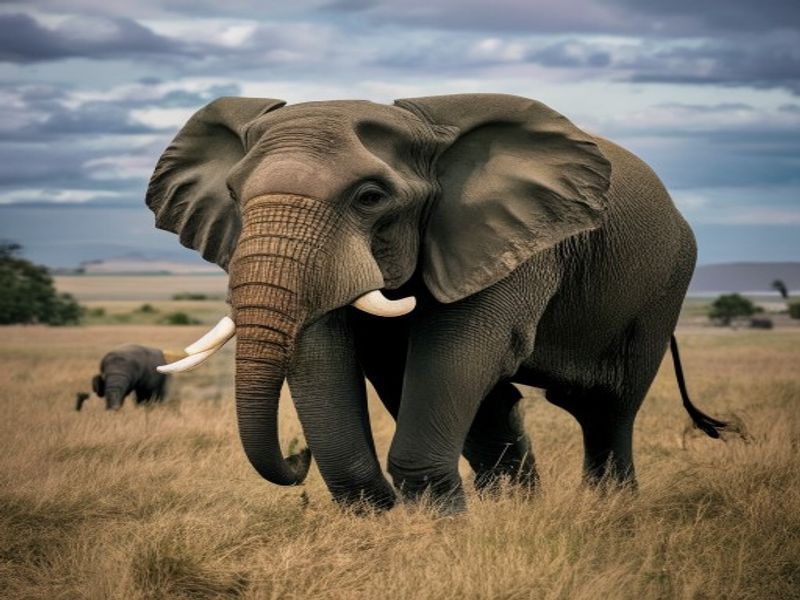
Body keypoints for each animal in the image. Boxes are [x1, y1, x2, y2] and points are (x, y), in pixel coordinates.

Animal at [146, 93, 733, 513]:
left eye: (370, 198)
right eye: (234, 196)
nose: (297, 455)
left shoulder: (516, 241)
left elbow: (460, 349)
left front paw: (437, 527)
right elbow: (353, 358)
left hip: (664, 285)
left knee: (606, 410)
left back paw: (608, 512)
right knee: (499, 406)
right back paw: (514, 512)